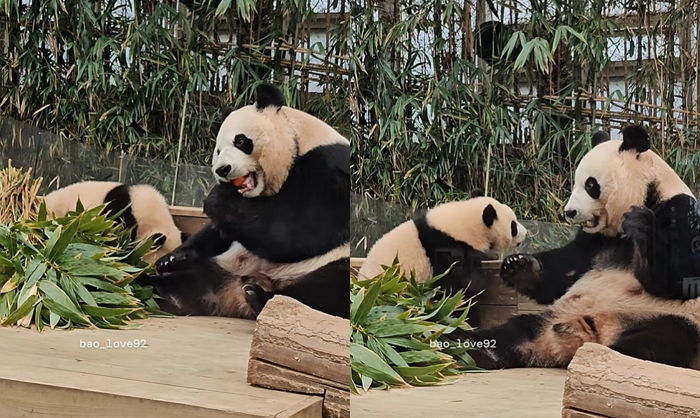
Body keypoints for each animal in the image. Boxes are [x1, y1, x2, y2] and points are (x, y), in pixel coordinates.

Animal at [153, 83, 350, 318]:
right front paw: (172, 258)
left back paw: (260, 298)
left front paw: (217, 197)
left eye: (240, 141)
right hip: (222, 267)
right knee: (187, 282)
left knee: (328, 287)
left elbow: (302, 230)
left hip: (323, 266)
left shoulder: (330, 169)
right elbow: (222, 232)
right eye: (218, 151)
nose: (222, 170)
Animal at [456, 125, 700, 370]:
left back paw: (602, 359)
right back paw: (474, 349)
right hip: (555, 315)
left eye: (591, 185)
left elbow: (681, 279)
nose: (569, 212)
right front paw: (518, 265)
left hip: (669, 319)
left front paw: (641, 223)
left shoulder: (680, 210)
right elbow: (565, 270)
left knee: (659, 341)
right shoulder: (594, 241)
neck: (648, 193)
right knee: (515, 331)